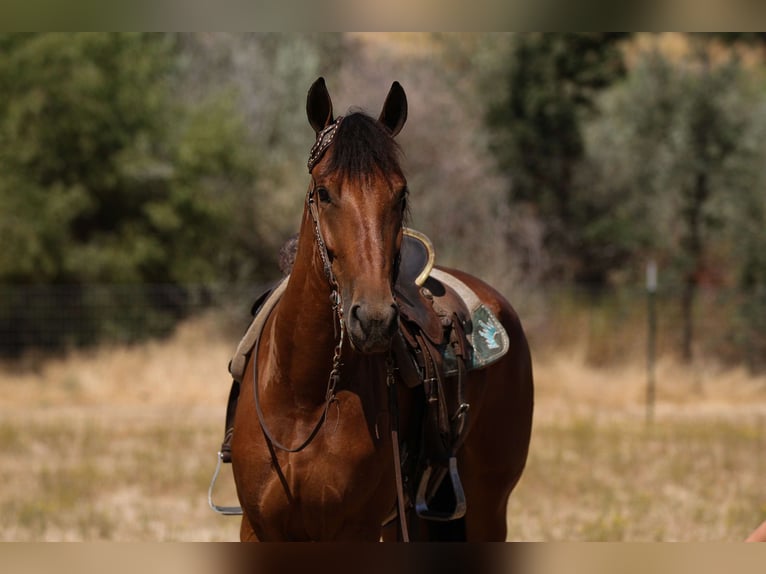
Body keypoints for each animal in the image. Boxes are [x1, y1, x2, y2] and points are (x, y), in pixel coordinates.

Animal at [229, 77, 534, 541]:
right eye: (323, 192)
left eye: (400, 193)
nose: (373, 320)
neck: (305, 397)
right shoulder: (260, 528)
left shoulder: (355, 528)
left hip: (487, 507)